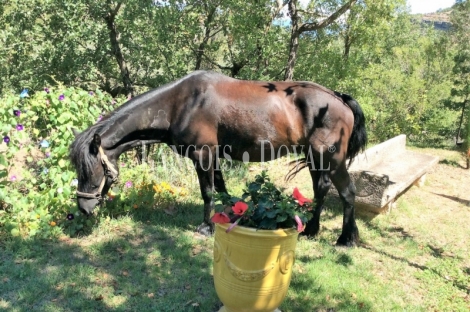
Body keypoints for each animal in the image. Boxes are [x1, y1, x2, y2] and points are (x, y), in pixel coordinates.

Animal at [69, 70, 368, 246]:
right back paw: (311, 229)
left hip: (331, 159)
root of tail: (338, 98)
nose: (83, 209)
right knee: (321, 189)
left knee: (347, 193)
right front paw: (228, 216)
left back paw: (346, 239)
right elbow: (222, 190)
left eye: (91, 170)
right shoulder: (213, 156)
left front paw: (205, 227)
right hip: (316, 159)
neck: (180, 103)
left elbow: (208, 191)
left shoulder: (202, 154)